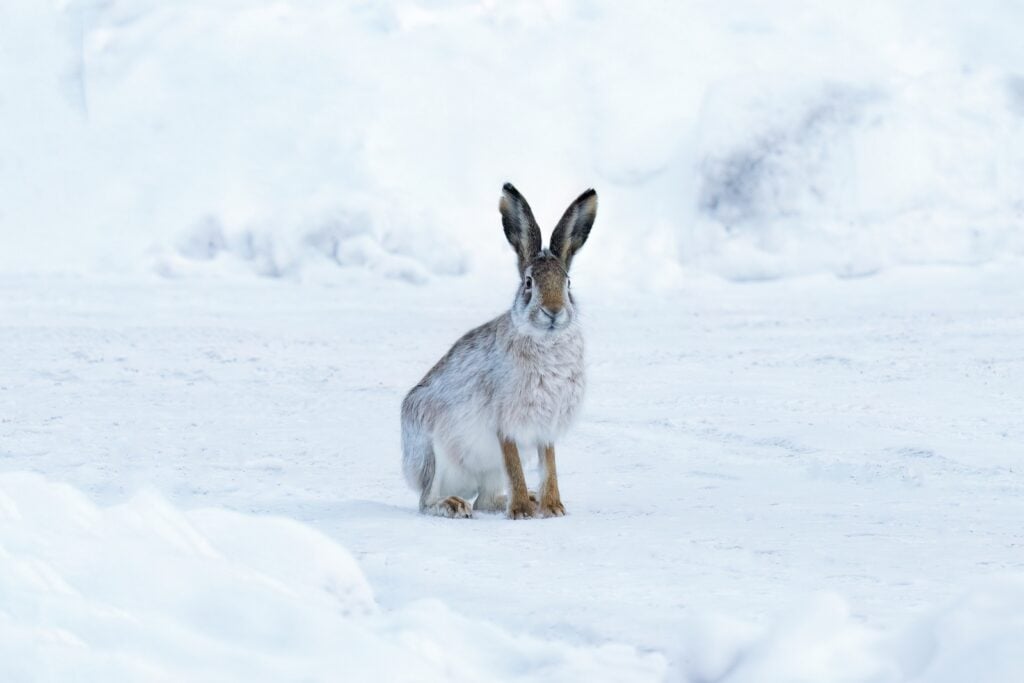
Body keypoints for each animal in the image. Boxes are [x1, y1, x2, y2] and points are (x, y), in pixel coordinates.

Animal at [401, 183, 597, 519]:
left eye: (568, 283)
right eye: (529, 283)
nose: (554, 311)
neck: (546, 342)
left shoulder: (545, 428)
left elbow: (550, 465)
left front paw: (553, 507)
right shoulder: (505, 423)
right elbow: (514, 465)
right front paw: (521, 512)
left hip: (487, 472)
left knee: (486, 500)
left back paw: (526, 497)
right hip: (431, 452)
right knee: (426, 501)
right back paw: (454, 505)